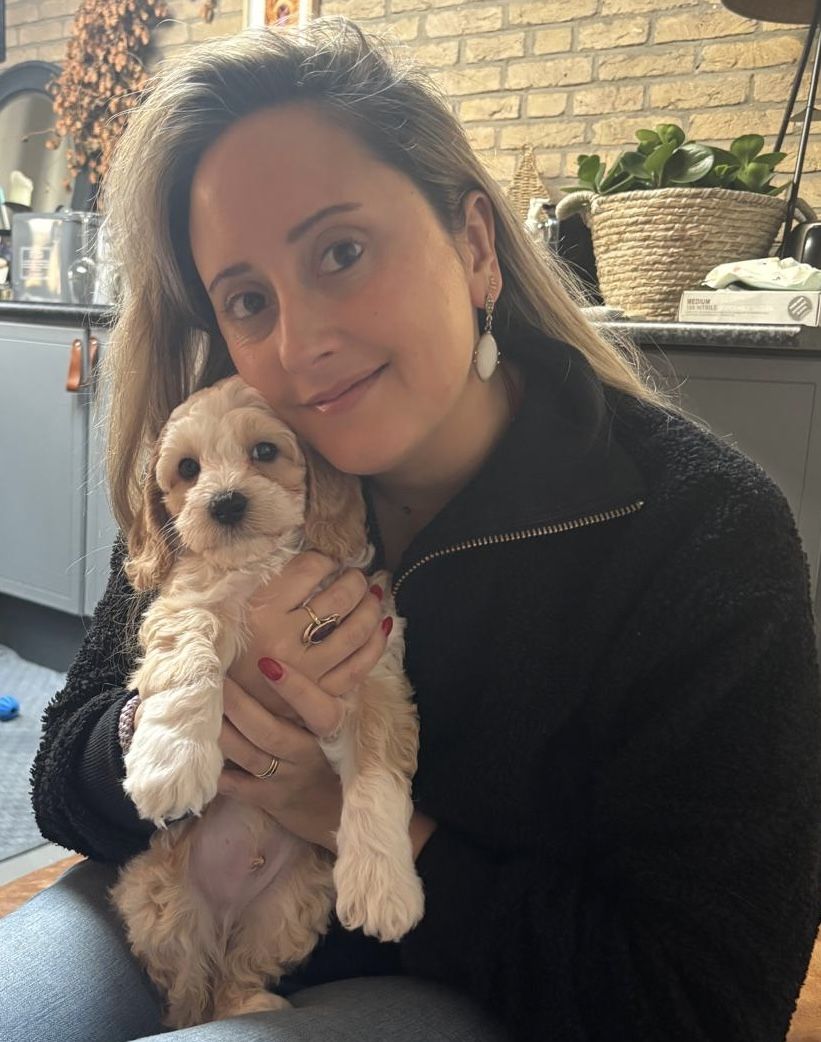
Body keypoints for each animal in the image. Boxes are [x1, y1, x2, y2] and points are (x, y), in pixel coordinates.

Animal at [108, 374, 424, 1028]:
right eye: (187, 468)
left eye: (264, 452)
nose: (225, 503)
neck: (263, 565)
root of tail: (224, 916)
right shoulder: (186, 605)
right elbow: (190, 658)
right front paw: (171, 766)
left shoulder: (375, 664)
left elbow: (378, 768)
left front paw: (383, 884)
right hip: (158, 902)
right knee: (187, 991)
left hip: (289, 905)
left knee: (238, 971)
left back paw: (251, 1002)